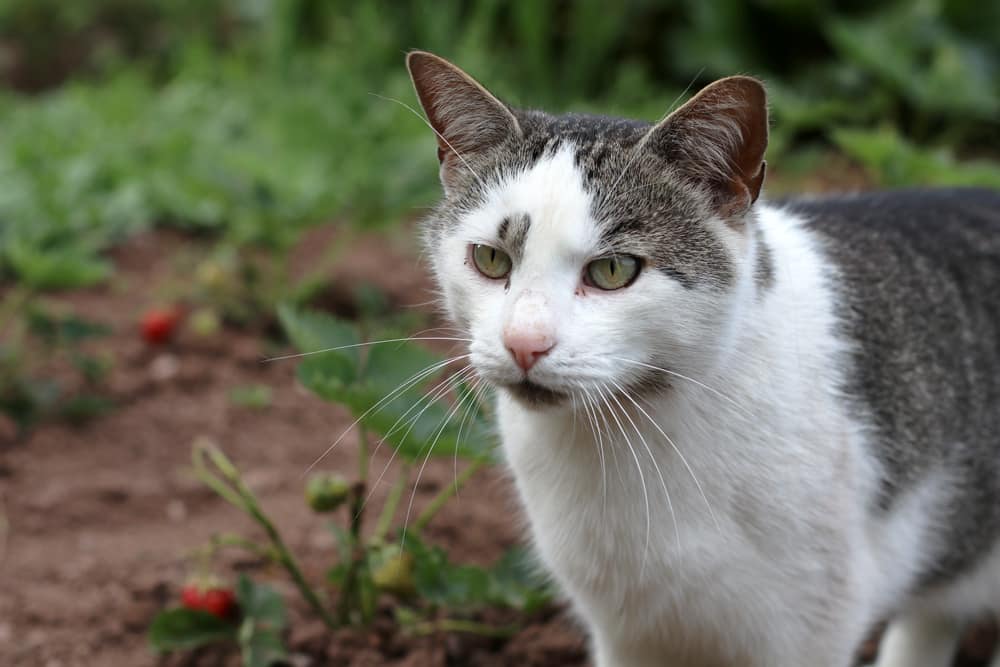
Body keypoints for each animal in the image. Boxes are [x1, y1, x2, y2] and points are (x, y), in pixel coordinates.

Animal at [402, 49, 1000, 664]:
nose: (524, 341)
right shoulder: (625, 633)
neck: (624, 438)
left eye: (612, 270)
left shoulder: (808, 632)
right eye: (491, 259)